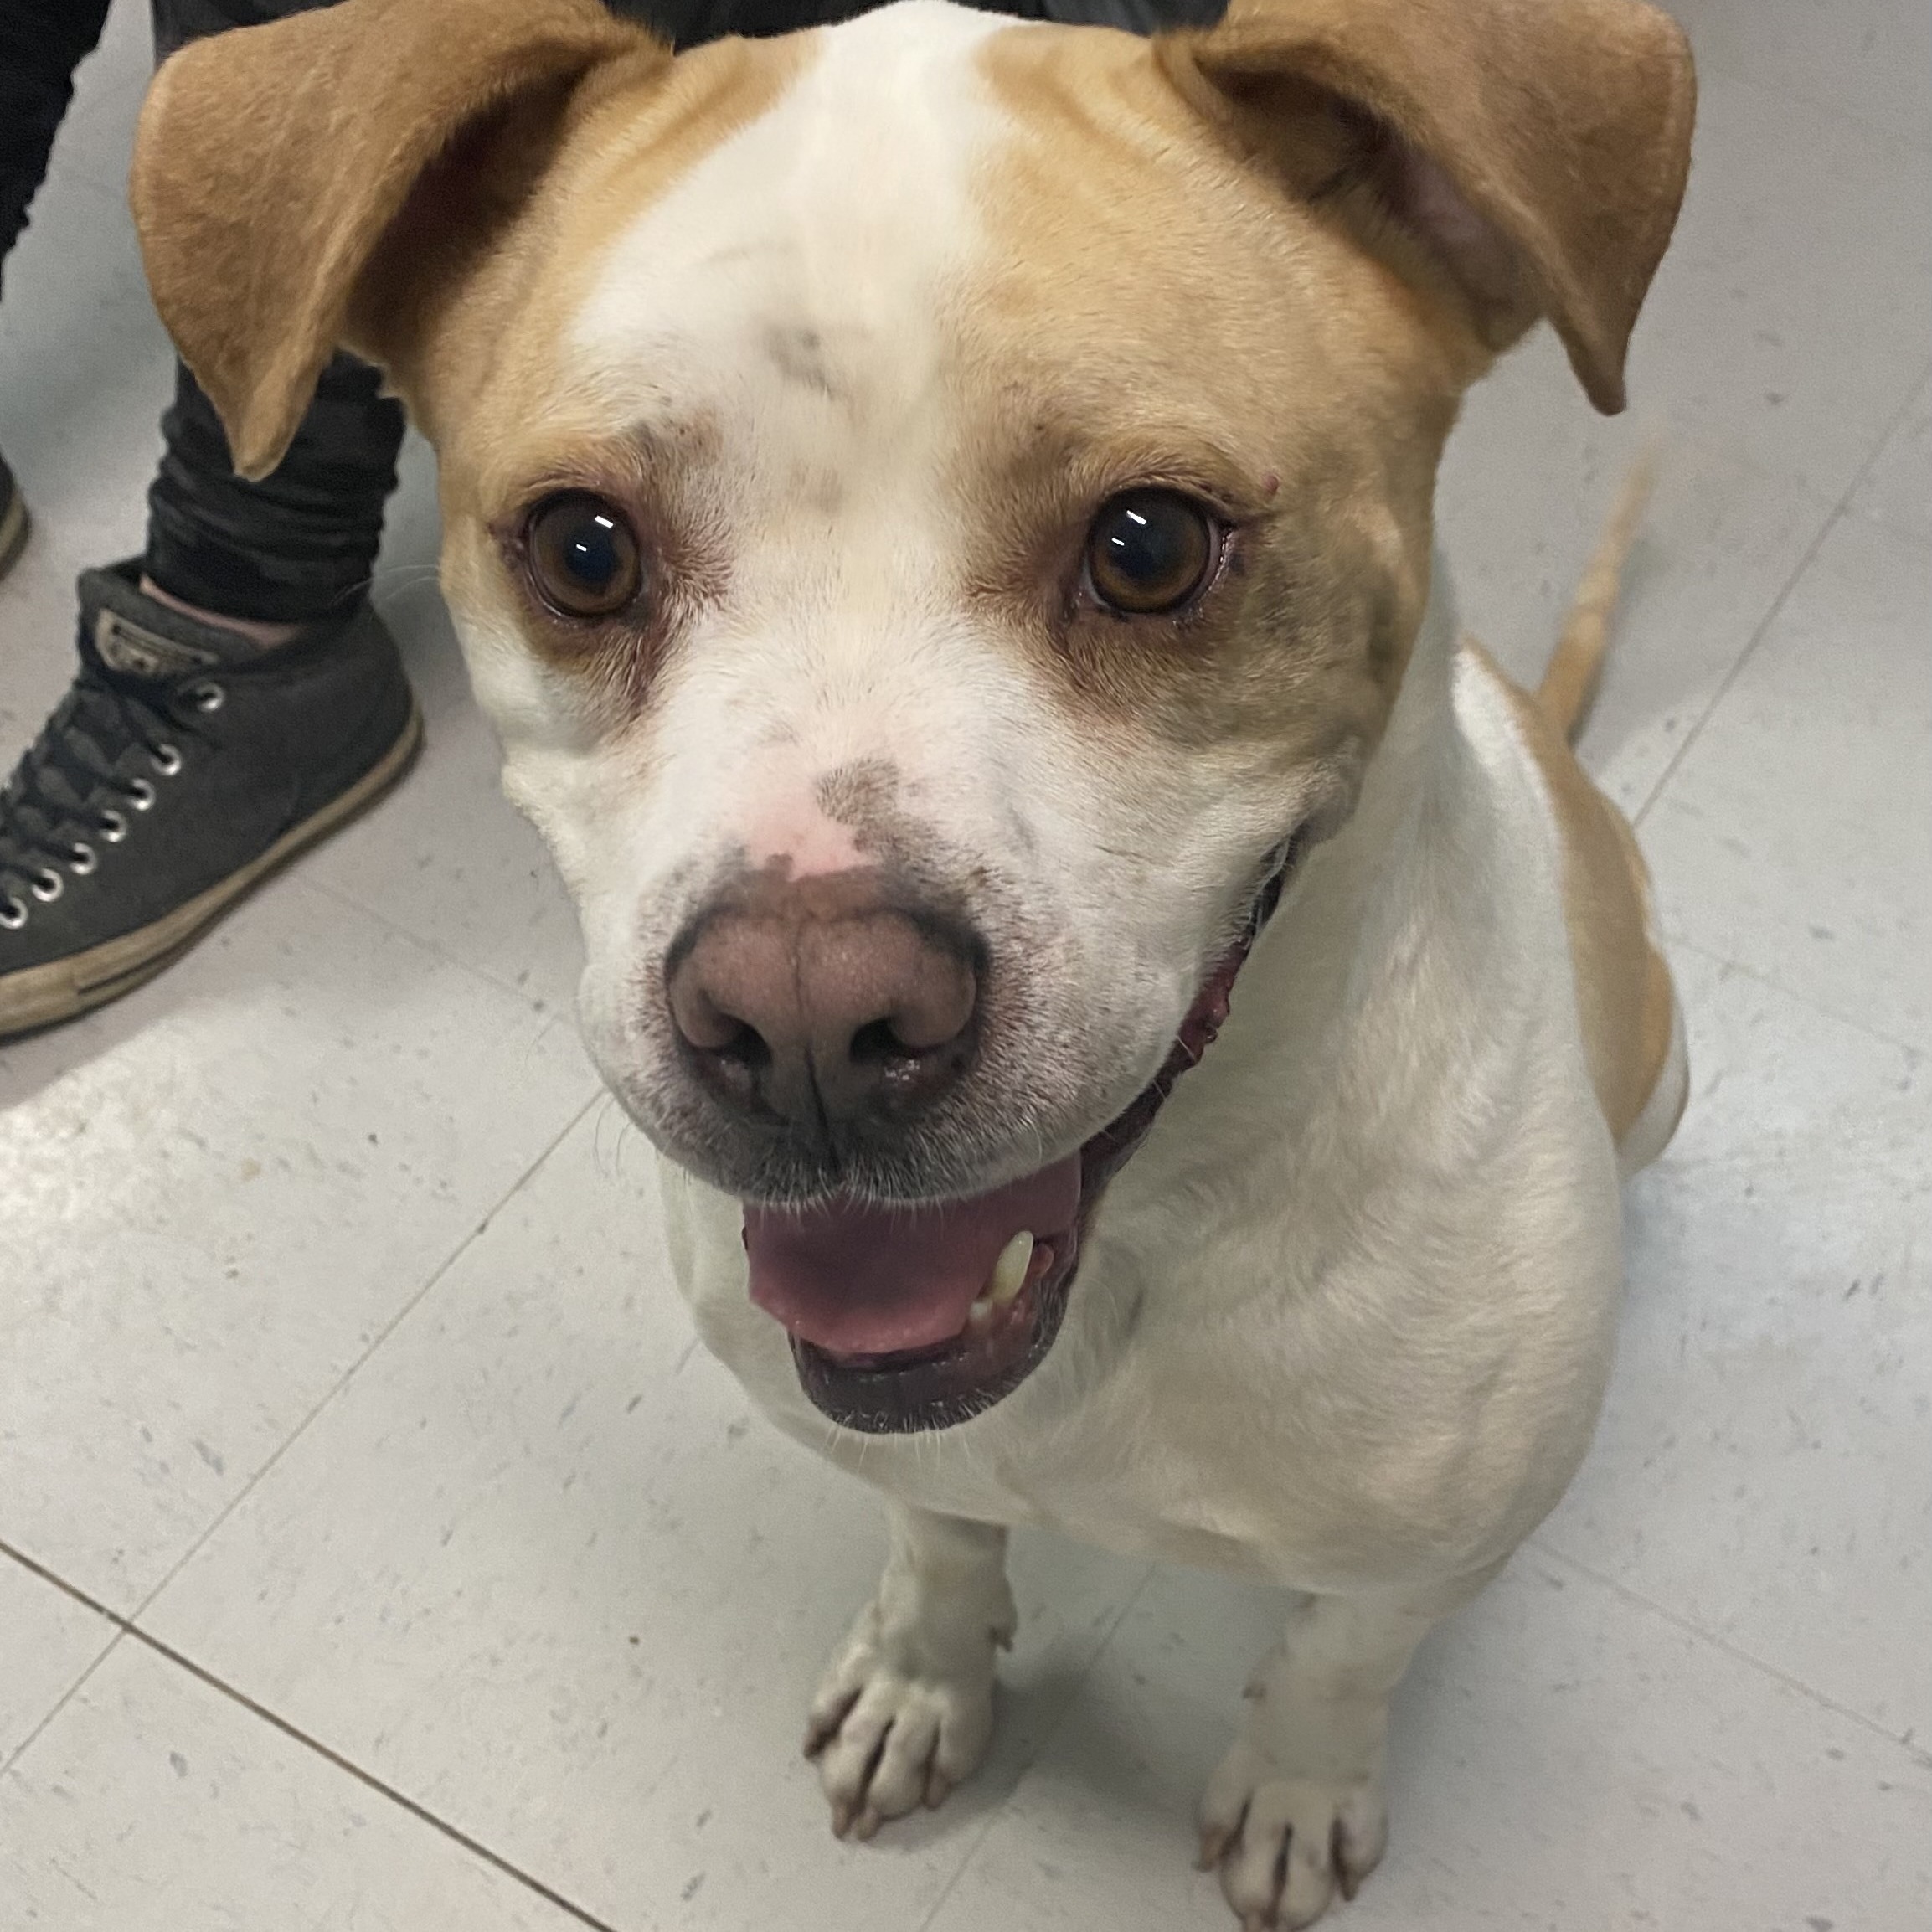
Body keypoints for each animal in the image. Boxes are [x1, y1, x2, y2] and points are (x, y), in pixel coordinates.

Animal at [128, 3, 1692, 1916]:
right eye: (581, 547)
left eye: (1150, 545)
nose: (808, 1017)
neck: (1128, 1274)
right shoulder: (899, 1435)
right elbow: (939, 1536)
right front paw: (920, 1675)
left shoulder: (1423, 1556)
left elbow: (1333, 1659)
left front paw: (1295, 1786)